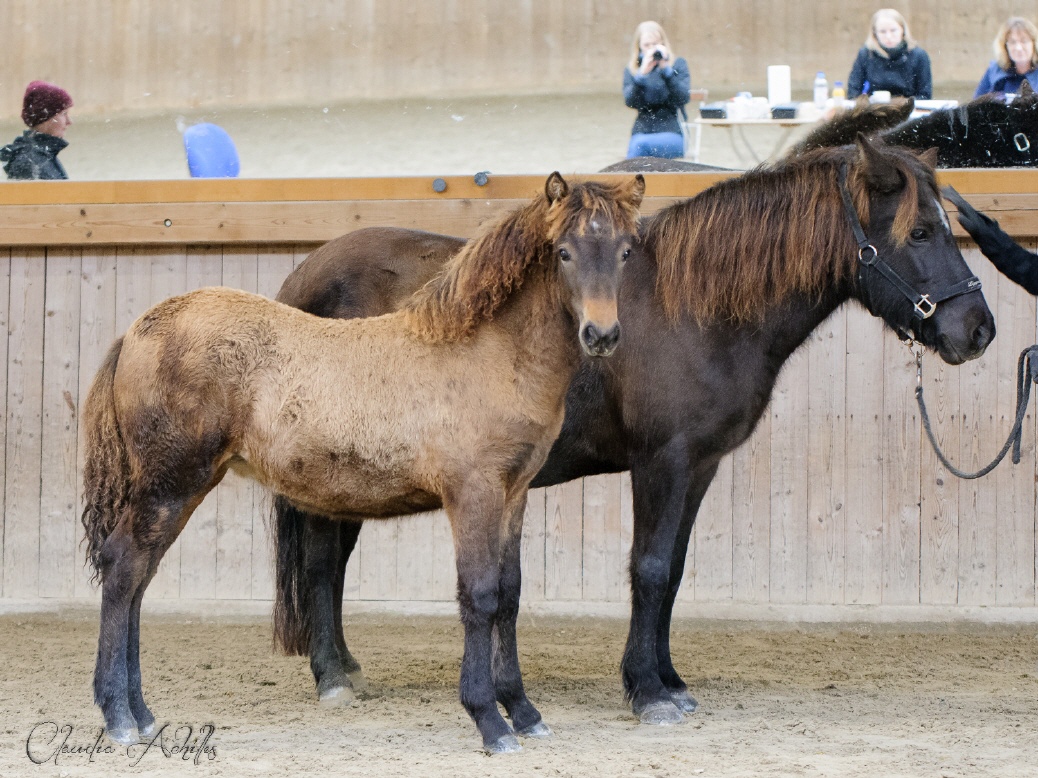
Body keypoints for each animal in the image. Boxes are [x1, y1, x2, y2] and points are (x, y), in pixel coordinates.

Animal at [80, 172, 643, 755]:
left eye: (626, 250)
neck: (486, 354)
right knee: (123, 566)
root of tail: (135, 333)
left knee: (140, 576)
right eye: (564, 252)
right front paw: (489, 720)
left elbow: (508, 595)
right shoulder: (473, 492)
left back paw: (142, 716)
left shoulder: (514, 492)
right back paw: (121, 717)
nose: (601, 336)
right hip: (171, 484)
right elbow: (479, 594)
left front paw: (526, 713)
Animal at [269, 136, 996, 730]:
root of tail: (305, 277)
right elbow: (647, 569)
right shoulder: (662, 461)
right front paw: (648, 693)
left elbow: (671, 571)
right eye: (922, 231)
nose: (978, 330)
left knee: (330, 561)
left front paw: (668, 680)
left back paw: (345, 669)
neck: (693, 306)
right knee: (323, 560)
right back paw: (332, 677)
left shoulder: (698, 466)